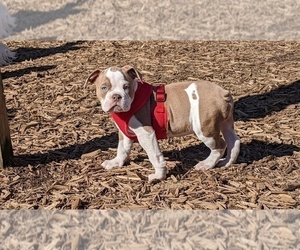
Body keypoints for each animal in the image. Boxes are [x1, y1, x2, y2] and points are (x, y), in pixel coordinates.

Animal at [84, 64, 239, 182]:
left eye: (126, 87)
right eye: (104, 88)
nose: (117, 96)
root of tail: (222, 92)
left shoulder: (146, 134)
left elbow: (154, 155)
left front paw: (159, 176)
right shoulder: (124, 132)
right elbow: (122, 149)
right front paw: (116, 162)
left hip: (205, 128)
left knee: (220, 146)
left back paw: (206, 164)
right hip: (225, 123)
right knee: (234, 140)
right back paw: (227, 162)